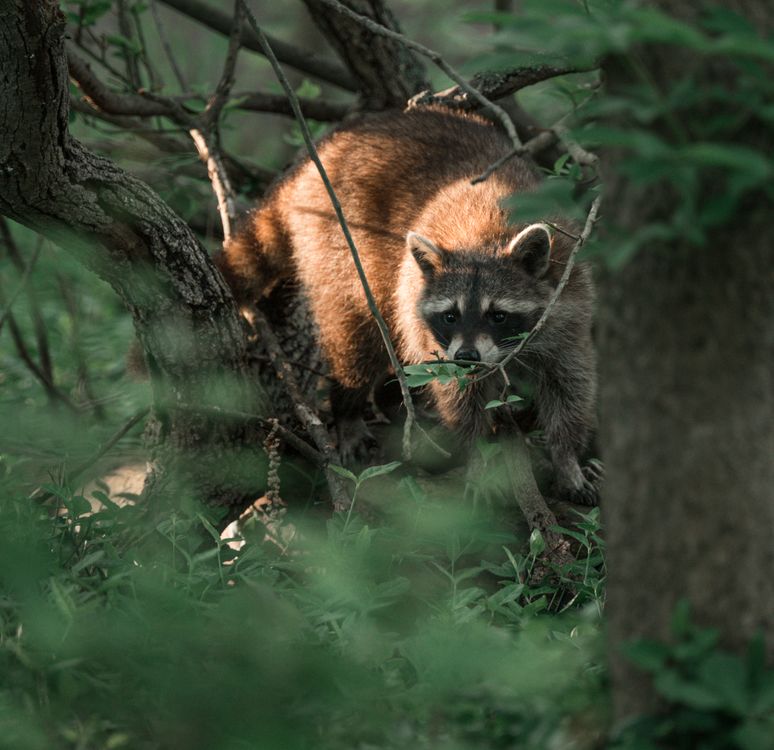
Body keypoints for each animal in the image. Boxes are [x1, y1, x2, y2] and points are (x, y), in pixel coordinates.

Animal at [218, 107, 599, 504]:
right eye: (451, 316)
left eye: (498, 315)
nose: (467, 357)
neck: (486, 236)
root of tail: (315, 162)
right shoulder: (433, 334)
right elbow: (457, 394)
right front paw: (478, 454)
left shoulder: (569, 299)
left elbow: (570, 384)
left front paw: (565, 456)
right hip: (337, 245)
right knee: (359, 334)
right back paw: (347, 408)